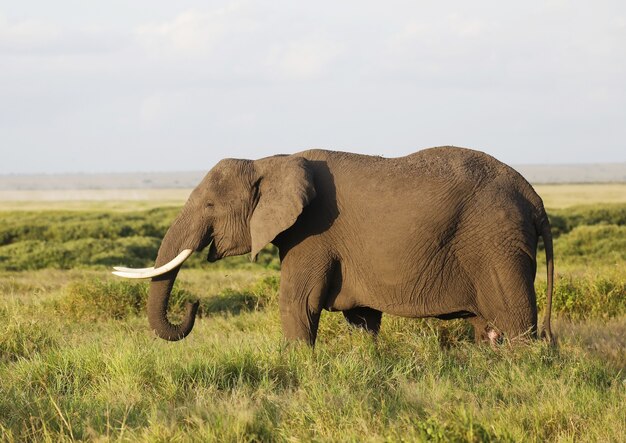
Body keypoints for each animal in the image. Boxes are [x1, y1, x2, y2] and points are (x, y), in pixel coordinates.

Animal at [112, 147, 552, 346]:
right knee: (487, 329)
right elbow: (362, 319)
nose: (193, 303)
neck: (268, 161)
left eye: (209, 206)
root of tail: (534, 197)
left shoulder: (313, 233)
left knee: (516, 326)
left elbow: (296, 303)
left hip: (497, 244)